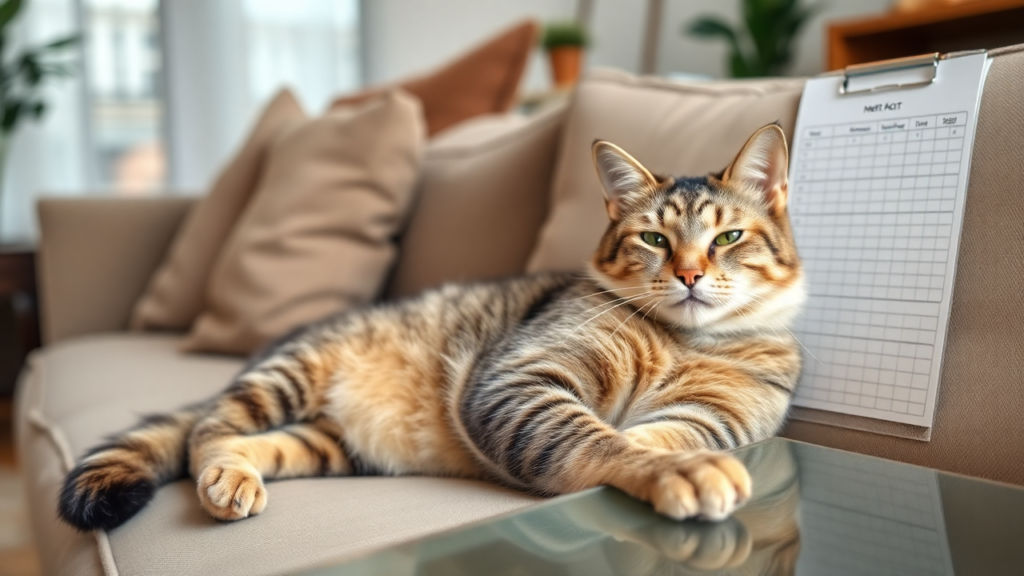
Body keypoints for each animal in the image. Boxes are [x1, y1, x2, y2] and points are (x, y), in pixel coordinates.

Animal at [58, 120, 806, 528]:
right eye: (653, 239)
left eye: (728, 237)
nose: (687, 275)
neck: (682, 340)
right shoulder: (521, 377)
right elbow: (605, 441)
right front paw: (675, 471)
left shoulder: (714, 415)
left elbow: (647, 438)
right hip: (285, 376)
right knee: (205, 436)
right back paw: (224, 477)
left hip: (328, 444)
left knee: (258, 443)